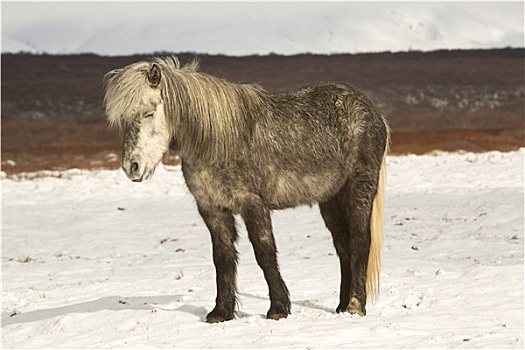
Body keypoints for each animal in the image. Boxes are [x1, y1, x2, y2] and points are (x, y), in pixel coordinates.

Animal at [103, 55, 388, 322]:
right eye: (123, 119)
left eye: (149, 112)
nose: (132, 167)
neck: (218, 142)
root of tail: (373, 113)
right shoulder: (212, 209)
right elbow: (223, 258)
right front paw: (221, 312)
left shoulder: (253, 205)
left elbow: (265, 254)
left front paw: (278, 309)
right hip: (330, 199)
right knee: (343, 246)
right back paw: (341, 306)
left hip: (359, 188)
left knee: (360, 241)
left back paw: (354, 306)